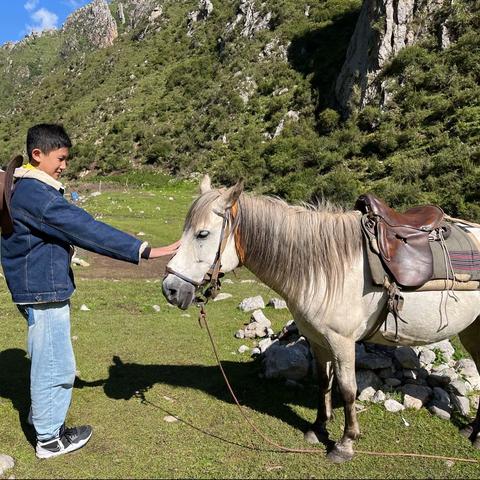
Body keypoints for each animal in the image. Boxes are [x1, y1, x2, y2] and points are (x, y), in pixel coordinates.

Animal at [162, 175, 480, 462]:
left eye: (203, 234)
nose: (170, 289)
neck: (322, 268)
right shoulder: (317, 339)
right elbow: (324, 383)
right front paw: (317, 428)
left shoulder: (342, 342)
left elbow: (348, 390)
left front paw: (345, 444)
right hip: (471, 331)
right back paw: (472, 432)